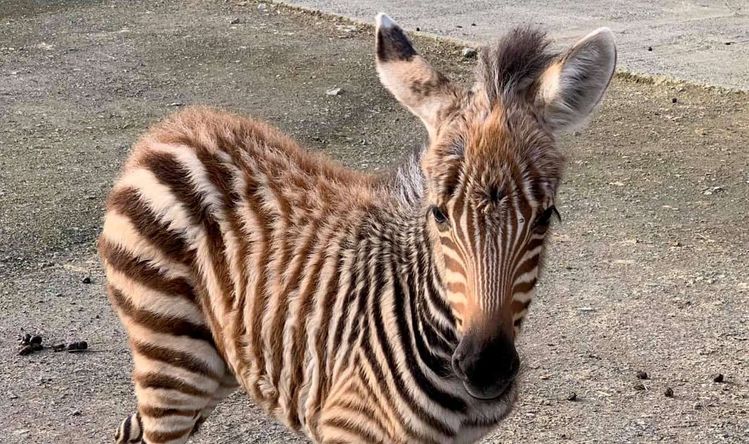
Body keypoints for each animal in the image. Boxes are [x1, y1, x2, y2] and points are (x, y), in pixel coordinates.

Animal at [100, 13, 616, 444]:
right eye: (438, 214)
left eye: (547, 215)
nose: (486, 369)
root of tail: (168, 130)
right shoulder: (349, 425)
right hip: (171, 359)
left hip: (216, 359)